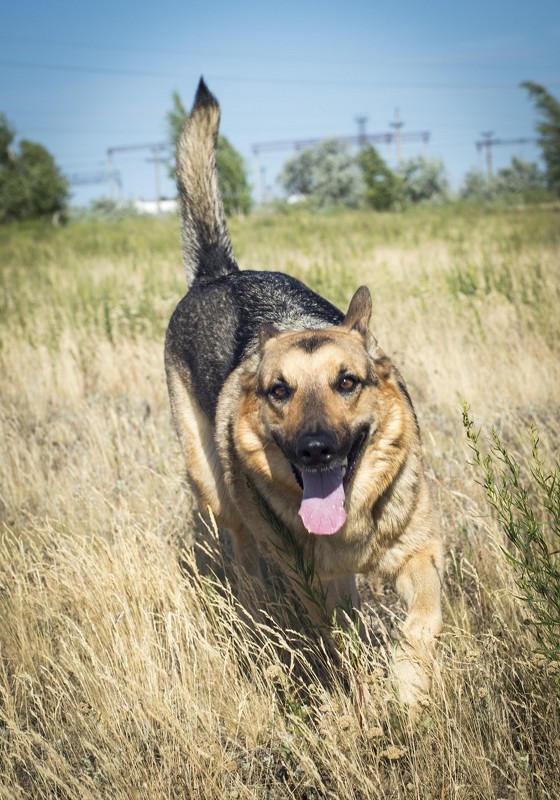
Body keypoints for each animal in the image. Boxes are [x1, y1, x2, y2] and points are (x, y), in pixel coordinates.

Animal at [164, 78, 444, 708]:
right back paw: (254, 611)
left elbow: (421, 622)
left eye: (347, 382)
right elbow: (339, 633)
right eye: (278, 391)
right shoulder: (318, 583)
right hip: (214, 489)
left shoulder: (419, 552)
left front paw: (408, 688)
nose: (316, 449)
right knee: (244, 556)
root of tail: (219, 274)